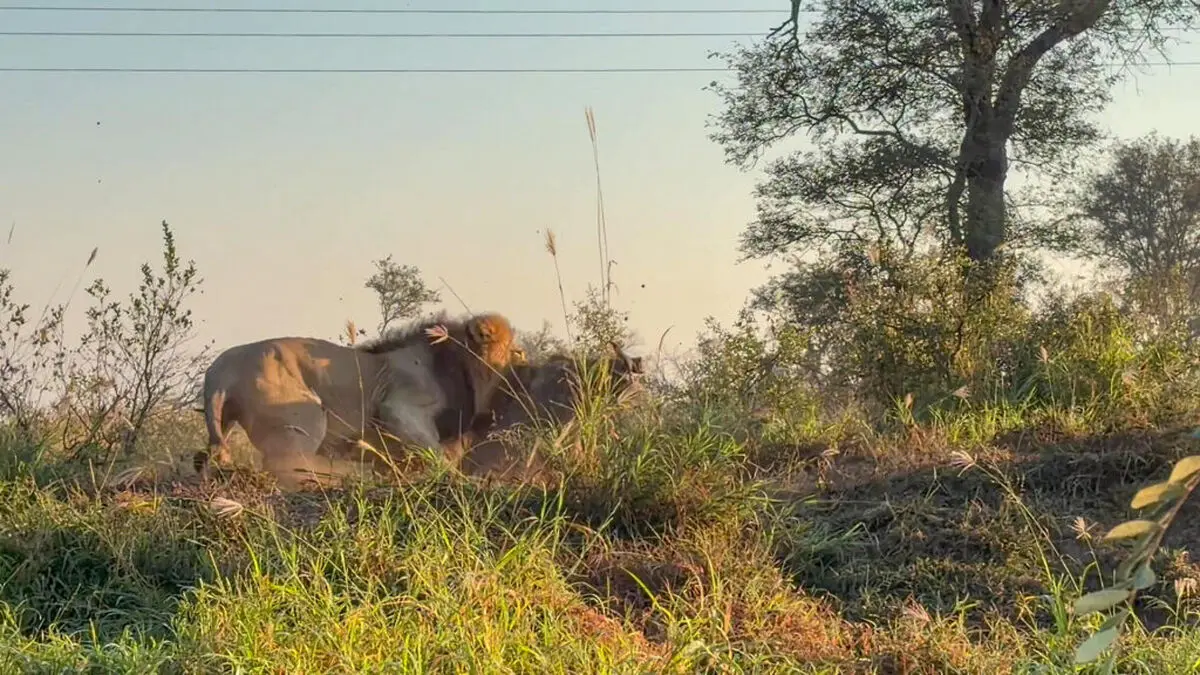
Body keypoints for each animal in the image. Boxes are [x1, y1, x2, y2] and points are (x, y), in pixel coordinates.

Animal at [193, 311, 525, 490]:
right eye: (513, 352)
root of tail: (219, 373)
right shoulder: (399, 407)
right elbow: (437, 456)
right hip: (306, 416)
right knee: (286, 466)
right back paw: (345, 474)